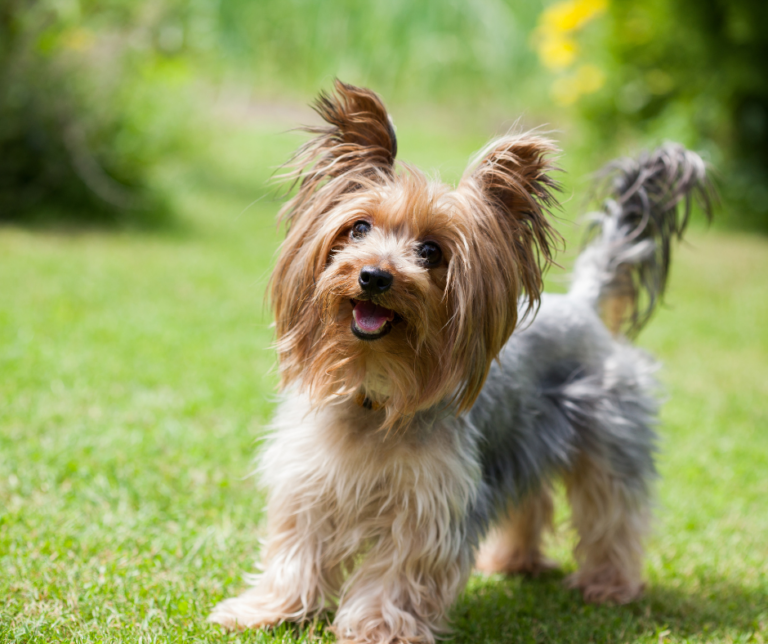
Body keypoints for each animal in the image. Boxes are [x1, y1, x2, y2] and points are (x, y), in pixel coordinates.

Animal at [207, 82, 712, 644]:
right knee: (532, 499)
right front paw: (267, 610)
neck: (374, 387)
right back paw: (513, 561)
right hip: (523, 439)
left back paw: (610, 584)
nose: (375, 275)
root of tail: (584, 305)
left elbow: (399, 569)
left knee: (613, 512)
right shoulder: (310, 481)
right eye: (357, 228)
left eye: (431, 251)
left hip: (609, 434)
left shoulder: (429, 502)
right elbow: (296, 547)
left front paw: (379, 627)